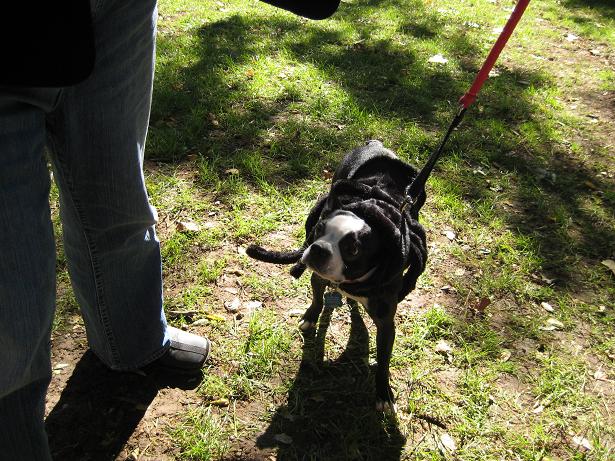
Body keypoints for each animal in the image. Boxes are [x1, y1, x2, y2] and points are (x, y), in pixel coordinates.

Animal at [248, 139, 426, 410]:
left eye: (353, 249)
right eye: (320, 228)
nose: (318, 248)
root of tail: (375, 143)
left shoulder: (386, 324)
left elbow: (383, 362)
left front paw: (383, 393)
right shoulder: (318, 277)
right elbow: (317, 299)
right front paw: (311, 316)